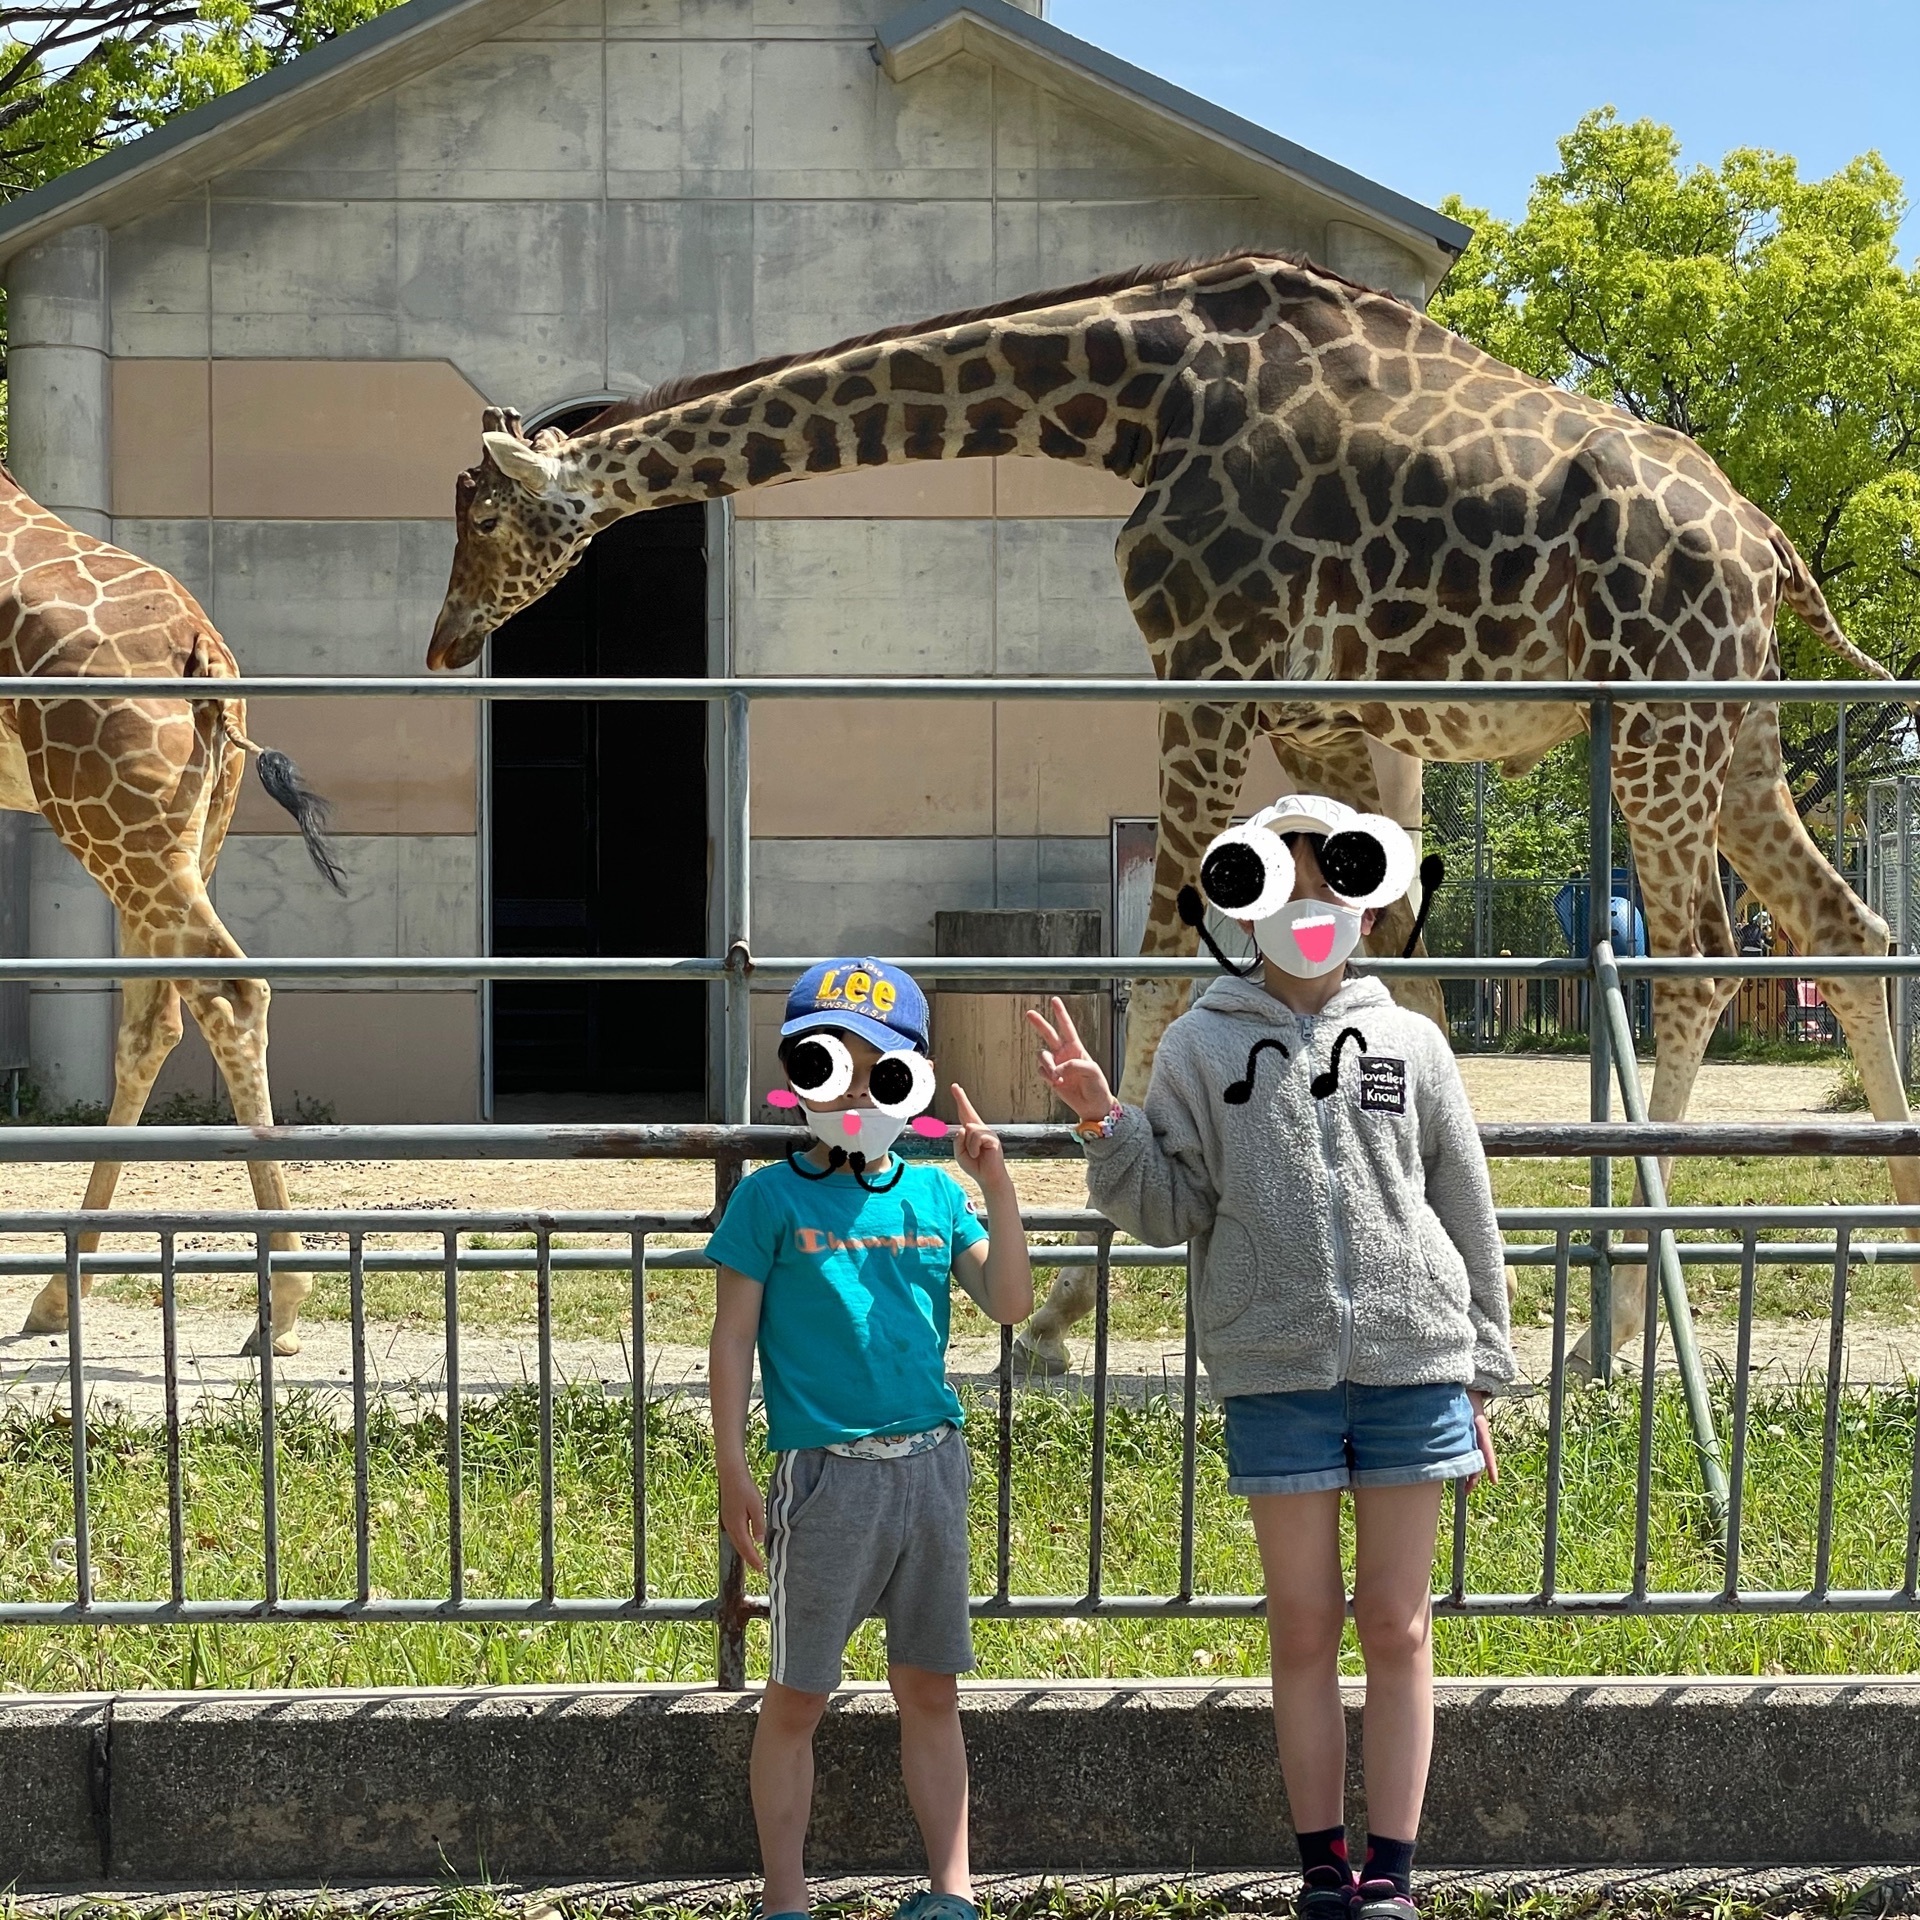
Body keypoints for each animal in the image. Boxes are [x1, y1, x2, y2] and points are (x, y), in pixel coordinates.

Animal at [0, 464, 343, 1359]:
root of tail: (207, 658)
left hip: (112, 820)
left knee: (226, 995)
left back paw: (282, 1302)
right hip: (187, 825)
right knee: (154, 1021)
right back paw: (58, 1294)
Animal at [428, 247, 1912, 1374]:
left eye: (489, 518)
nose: (444, 648)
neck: (1139, 399)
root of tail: (1769, 545)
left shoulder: (1207, 669)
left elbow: (1148, 968)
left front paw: (1058, 1320)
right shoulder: (1324, 716)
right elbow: (1400, 982)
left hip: (1664, 717)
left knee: (1702, 958)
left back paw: (1614, 1329)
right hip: (1741, 734)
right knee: (1845, 928)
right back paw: (1883, 1219)